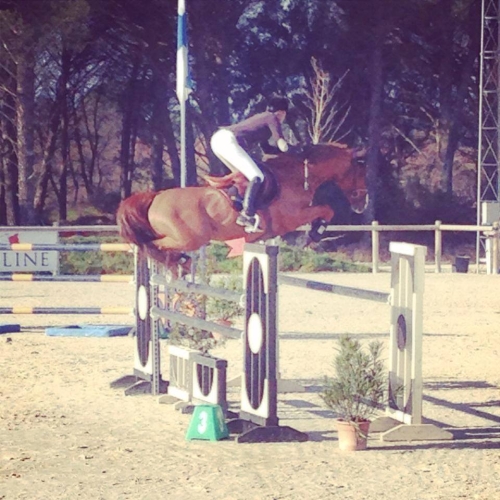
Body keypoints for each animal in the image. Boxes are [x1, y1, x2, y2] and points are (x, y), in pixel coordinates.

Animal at [117, 143, 368, 272]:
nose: (362, 205)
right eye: (360, 170)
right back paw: (179, 262)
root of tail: (155, 197)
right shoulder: (292, 217)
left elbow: (325, 210)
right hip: (189, 239)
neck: (299, 175)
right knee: (152, 245)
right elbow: (326, 209)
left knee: (149, 245)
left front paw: (314, 233)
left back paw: (178, 264)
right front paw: (312, 235)